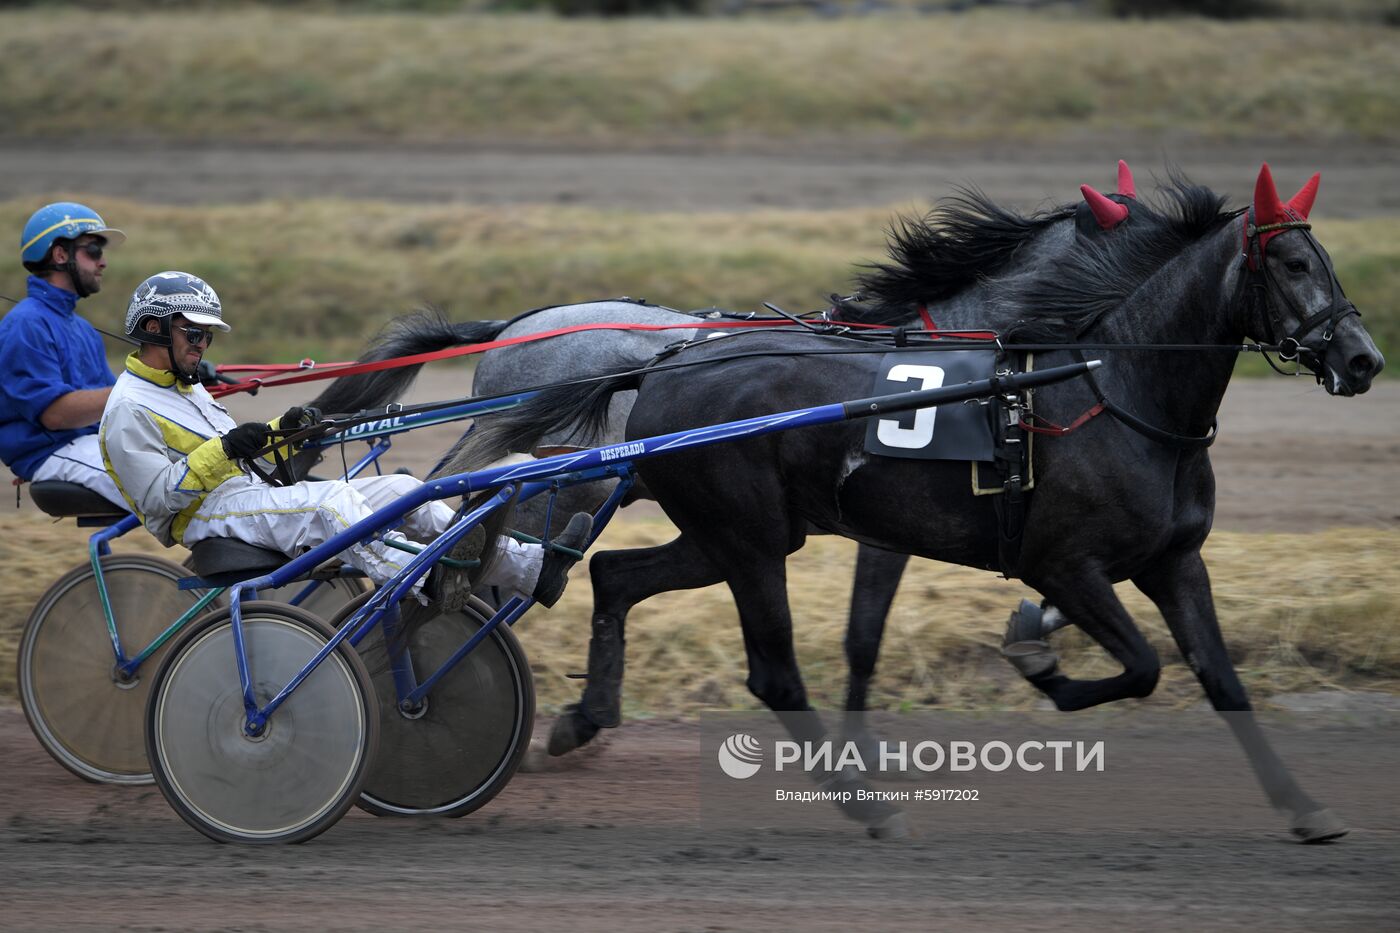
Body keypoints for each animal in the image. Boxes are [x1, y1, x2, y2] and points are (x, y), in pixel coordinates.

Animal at [445, 163, 1377, 840]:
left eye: (1326, 260)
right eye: (1293, 264)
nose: (1363, 358)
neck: (1103, 387)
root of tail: (658, 367)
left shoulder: (1172, 562)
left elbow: (1219, 676)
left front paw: (1305, 807)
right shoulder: (1062, 562)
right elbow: (1138, 664)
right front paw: (1036, 659)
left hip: (730, 534)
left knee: (612, 576)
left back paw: (582, 718)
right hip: (727, 535)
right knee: (757, 665)